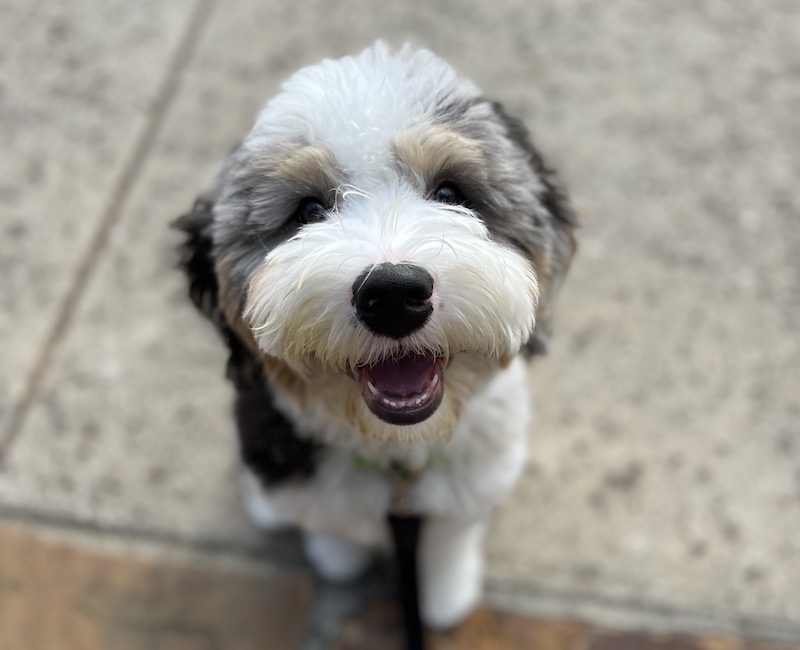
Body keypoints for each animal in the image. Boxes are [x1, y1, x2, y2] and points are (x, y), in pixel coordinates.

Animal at [173, 41, 576, 644]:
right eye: (309, 211)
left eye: (450, 192)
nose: (392, 294)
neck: (394, 458)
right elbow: (332, 529)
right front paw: (337, 558)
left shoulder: (470, 484)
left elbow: (448, 536)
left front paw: (442, 595)